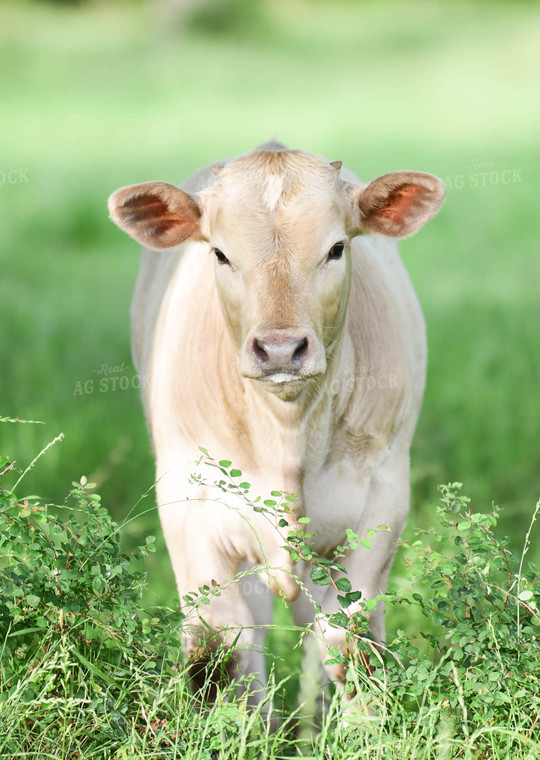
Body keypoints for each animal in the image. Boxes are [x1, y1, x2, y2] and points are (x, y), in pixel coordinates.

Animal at [107, 142, 446, 700]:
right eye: (220, 254)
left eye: (336, 248)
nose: (281, 349)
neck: (287, 433)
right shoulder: (189, 503)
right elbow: (222, 646)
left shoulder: (384, 495)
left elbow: (349, 643)